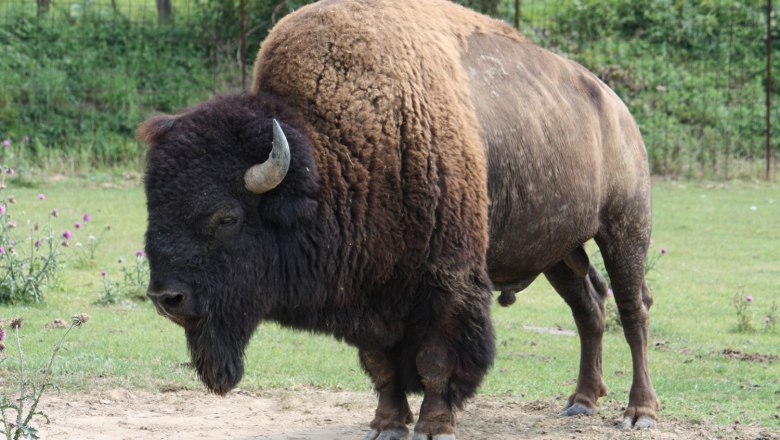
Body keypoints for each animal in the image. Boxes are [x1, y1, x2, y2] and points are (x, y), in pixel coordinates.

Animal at [139, 0, 660, 438]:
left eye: (226, 217)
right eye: (152, 207)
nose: (167, 298)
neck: (335, 153)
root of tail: (615, 107)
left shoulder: (446, 283)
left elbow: (435, 359)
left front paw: (434, 425)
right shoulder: (367, 290)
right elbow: (381, 363)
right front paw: (387, 425)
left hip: (624, 228)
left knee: (632, 310)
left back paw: (639, 412)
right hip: (559, 250)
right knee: (588, 306)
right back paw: (581, 401)